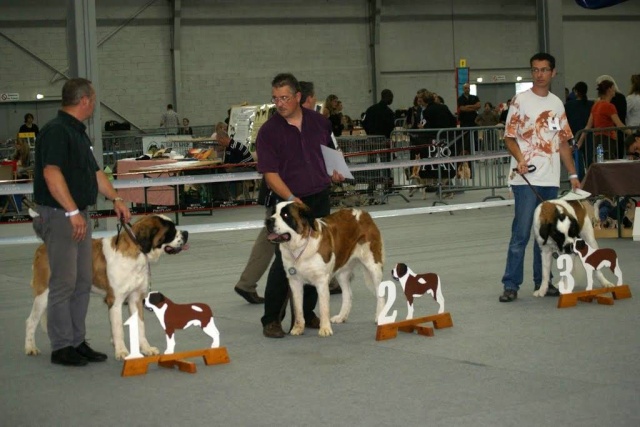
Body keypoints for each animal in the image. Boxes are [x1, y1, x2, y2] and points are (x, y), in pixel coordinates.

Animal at [25, 214, 190, 362]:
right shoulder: (115, 301)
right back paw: (31, 347)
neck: (136, 252)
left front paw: (146, 349)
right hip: (44, 294)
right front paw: (122, 352)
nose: (186, 233)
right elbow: (118, 329)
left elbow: (140, 326)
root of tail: (41, 247)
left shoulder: (136, 299)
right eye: (171, 230)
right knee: (31, 321)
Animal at [264, 201, 382, 338]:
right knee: (347, 294)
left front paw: (325, 329)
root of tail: (363, 213)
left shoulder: (321, 281)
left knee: (380, 293)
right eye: (273, 213)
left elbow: (323, 307)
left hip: (373, 266)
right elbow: (298, 308)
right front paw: (297, 328)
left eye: (285, 215)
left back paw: (379, 317)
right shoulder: (294, 281)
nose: (268, 221)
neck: (300, 248)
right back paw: (341, 317)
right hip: (342, 271)